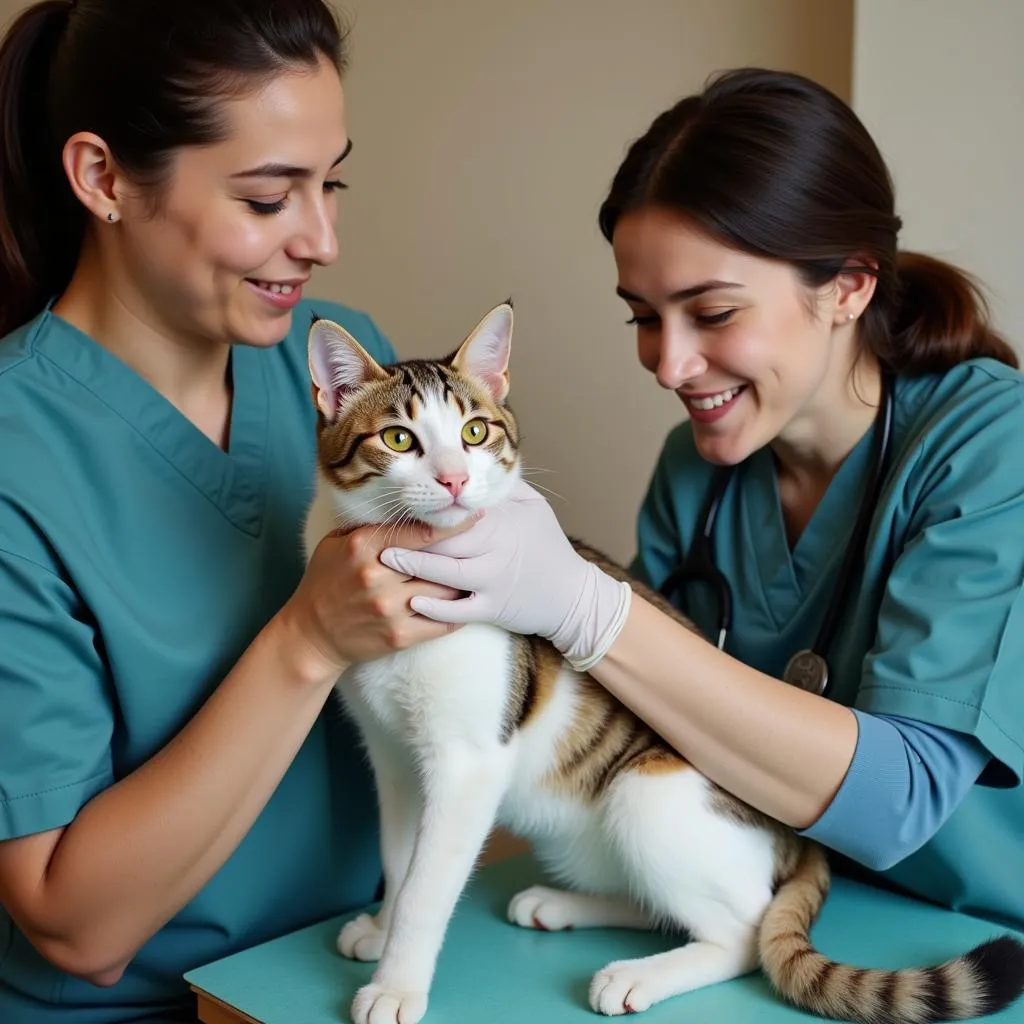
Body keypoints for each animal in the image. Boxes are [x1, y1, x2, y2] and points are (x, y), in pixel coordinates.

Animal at [299, 299, 1019, 1024]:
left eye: (475, 432)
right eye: (398, 441)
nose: (454, 479)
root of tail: (801, 837)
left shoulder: (467, 762)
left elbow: (428, 884)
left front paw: (397, 984)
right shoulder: (393, 758)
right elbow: (400, 858)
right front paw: (384, 927)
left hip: (647, 793)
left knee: (746, 932)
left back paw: (638, 974)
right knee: (666, 908)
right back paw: (564, 905)